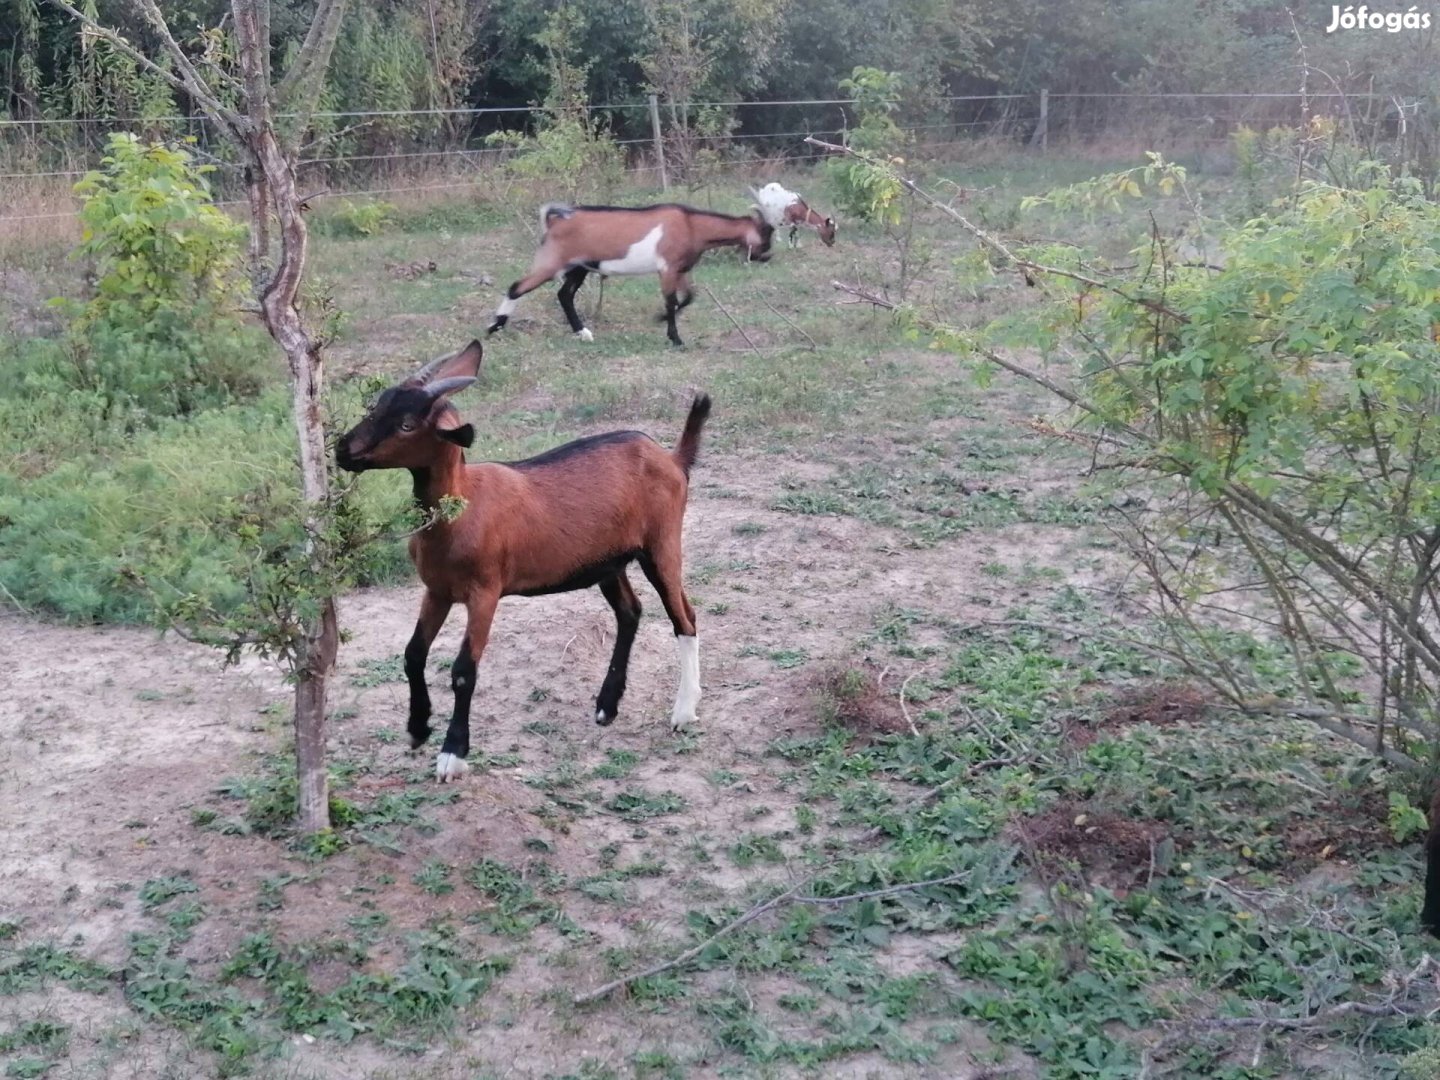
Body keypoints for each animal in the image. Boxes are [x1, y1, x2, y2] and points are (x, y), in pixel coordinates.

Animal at [331, 342, 702, 783]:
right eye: (377, 404)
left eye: (407, 425)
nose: (342, 449)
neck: (461, 509)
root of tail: (671, 458)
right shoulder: (437, 590)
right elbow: (413, 653)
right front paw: (418, 727)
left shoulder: (484, 593)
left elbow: (463, 671)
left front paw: (452, 753)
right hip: (607, 562)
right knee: (630, 612)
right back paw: (606, 706)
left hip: (661, 544)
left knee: (684, 617)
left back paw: (683, 712)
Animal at [486, 204, 777, 348]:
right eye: (766, 235)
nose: (767, 256)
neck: (692, 225)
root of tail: (555, 221)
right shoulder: (667, 268)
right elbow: (672, 301)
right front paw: (675, 338)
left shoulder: (680, 269)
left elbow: (688, 298)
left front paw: (661, 320)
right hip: (552, 263)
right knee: (517, 287)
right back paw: (494, 326)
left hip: (580, 267)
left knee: (564, 294)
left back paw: (583, 333)